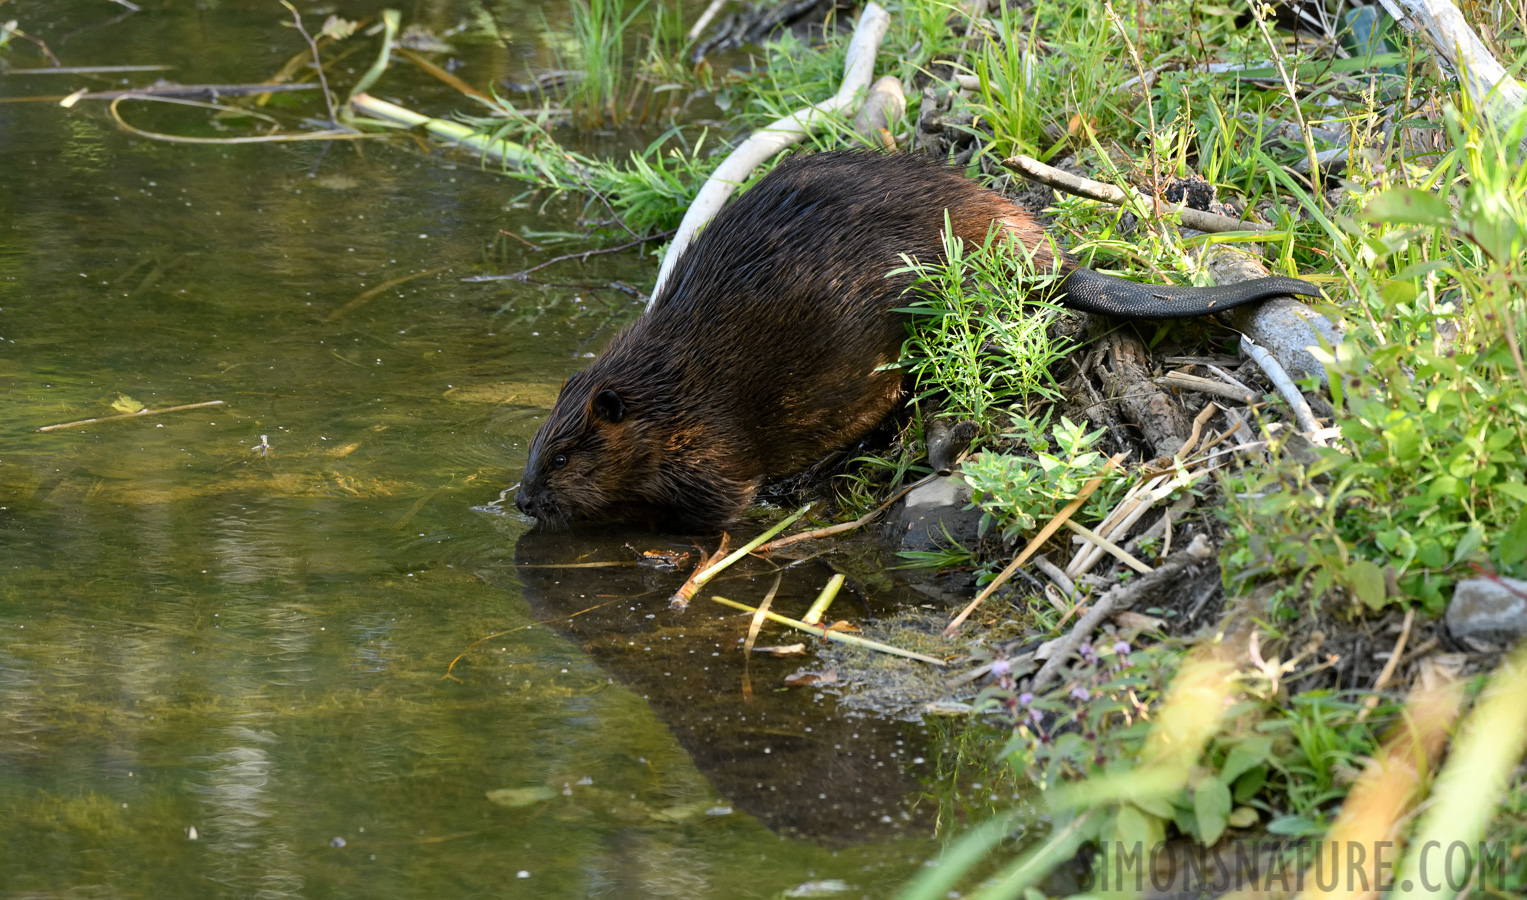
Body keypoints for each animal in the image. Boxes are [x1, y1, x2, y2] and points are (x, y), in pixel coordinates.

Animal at [516, 149, 1325, 528]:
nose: (522, 499)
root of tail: (1055, 262)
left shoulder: (710, 446)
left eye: (562, 456)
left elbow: (720, 508)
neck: (664, 389)